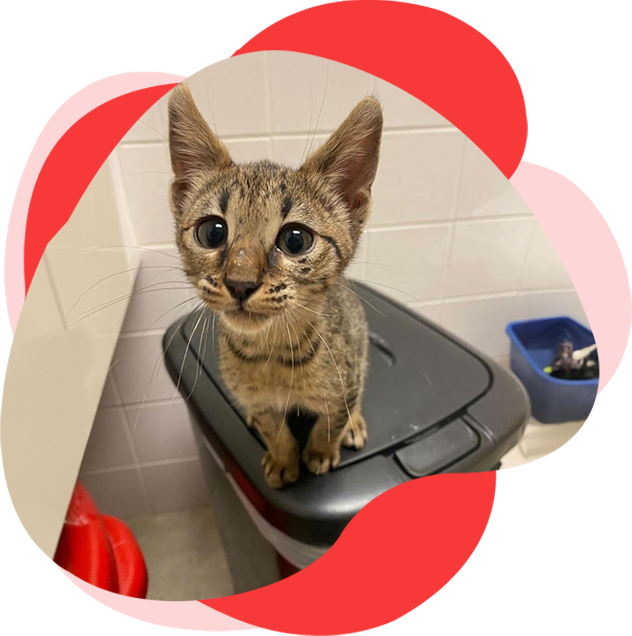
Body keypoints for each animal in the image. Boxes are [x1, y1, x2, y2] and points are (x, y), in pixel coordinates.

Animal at [168, 84, 382, 490]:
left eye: (296, 240)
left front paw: (320, 452)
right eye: (211, 232)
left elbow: (331, 419)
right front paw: (284, 458)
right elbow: (273, 426)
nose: (240, 283)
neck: (271, 354)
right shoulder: (256, 397)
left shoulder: (346, 378)